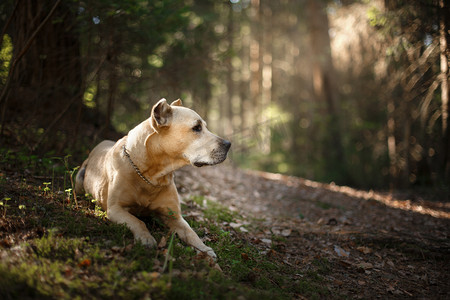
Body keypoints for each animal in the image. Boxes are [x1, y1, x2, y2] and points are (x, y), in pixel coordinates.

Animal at [75, 98, 230, 258]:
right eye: (197, 128)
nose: (229, 144)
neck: (152, 175)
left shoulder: (174, 216)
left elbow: (191, 233)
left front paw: (204, 249)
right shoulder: (116, 209)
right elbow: (138, 222)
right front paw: (146, 238)